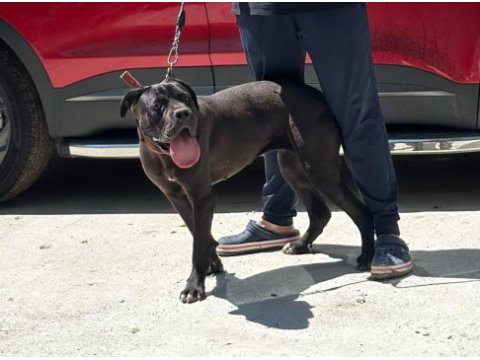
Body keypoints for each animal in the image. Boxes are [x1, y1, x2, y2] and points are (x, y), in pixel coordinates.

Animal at [121, 79, 376, 304]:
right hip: (292, 167)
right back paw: (301, 245)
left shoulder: (201, 197)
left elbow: (198, 245)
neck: (163, 155)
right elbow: (199, 235)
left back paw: (367, 257)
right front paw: (213, 266)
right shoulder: (178, 198)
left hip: (320, 169)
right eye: (157, 106)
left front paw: (194, 286)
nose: (183, 114)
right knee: (320, 212)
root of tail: (318, 95)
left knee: (362, 211)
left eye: (185, 99)